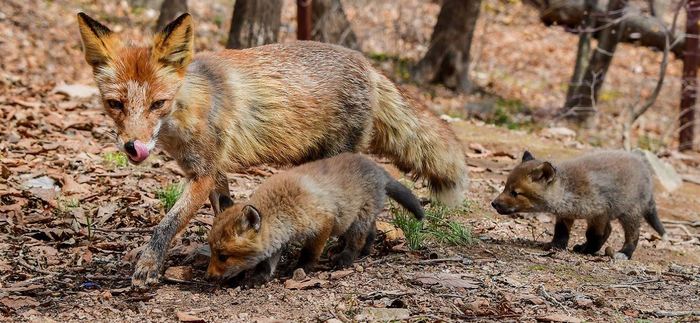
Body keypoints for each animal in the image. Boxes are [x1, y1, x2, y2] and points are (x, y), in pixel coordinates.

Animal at [76, 12, 468, 288]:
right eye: (115, 104)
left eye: (158, 104)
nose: (134, 147)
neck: (191, 107)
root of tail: (368, 64)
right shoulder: (213, 171)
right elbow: (224, 211)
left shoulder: (202, 175)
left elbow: (167, 224)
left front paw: (148, 266)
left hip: (335, 157)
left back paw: (347, 252)